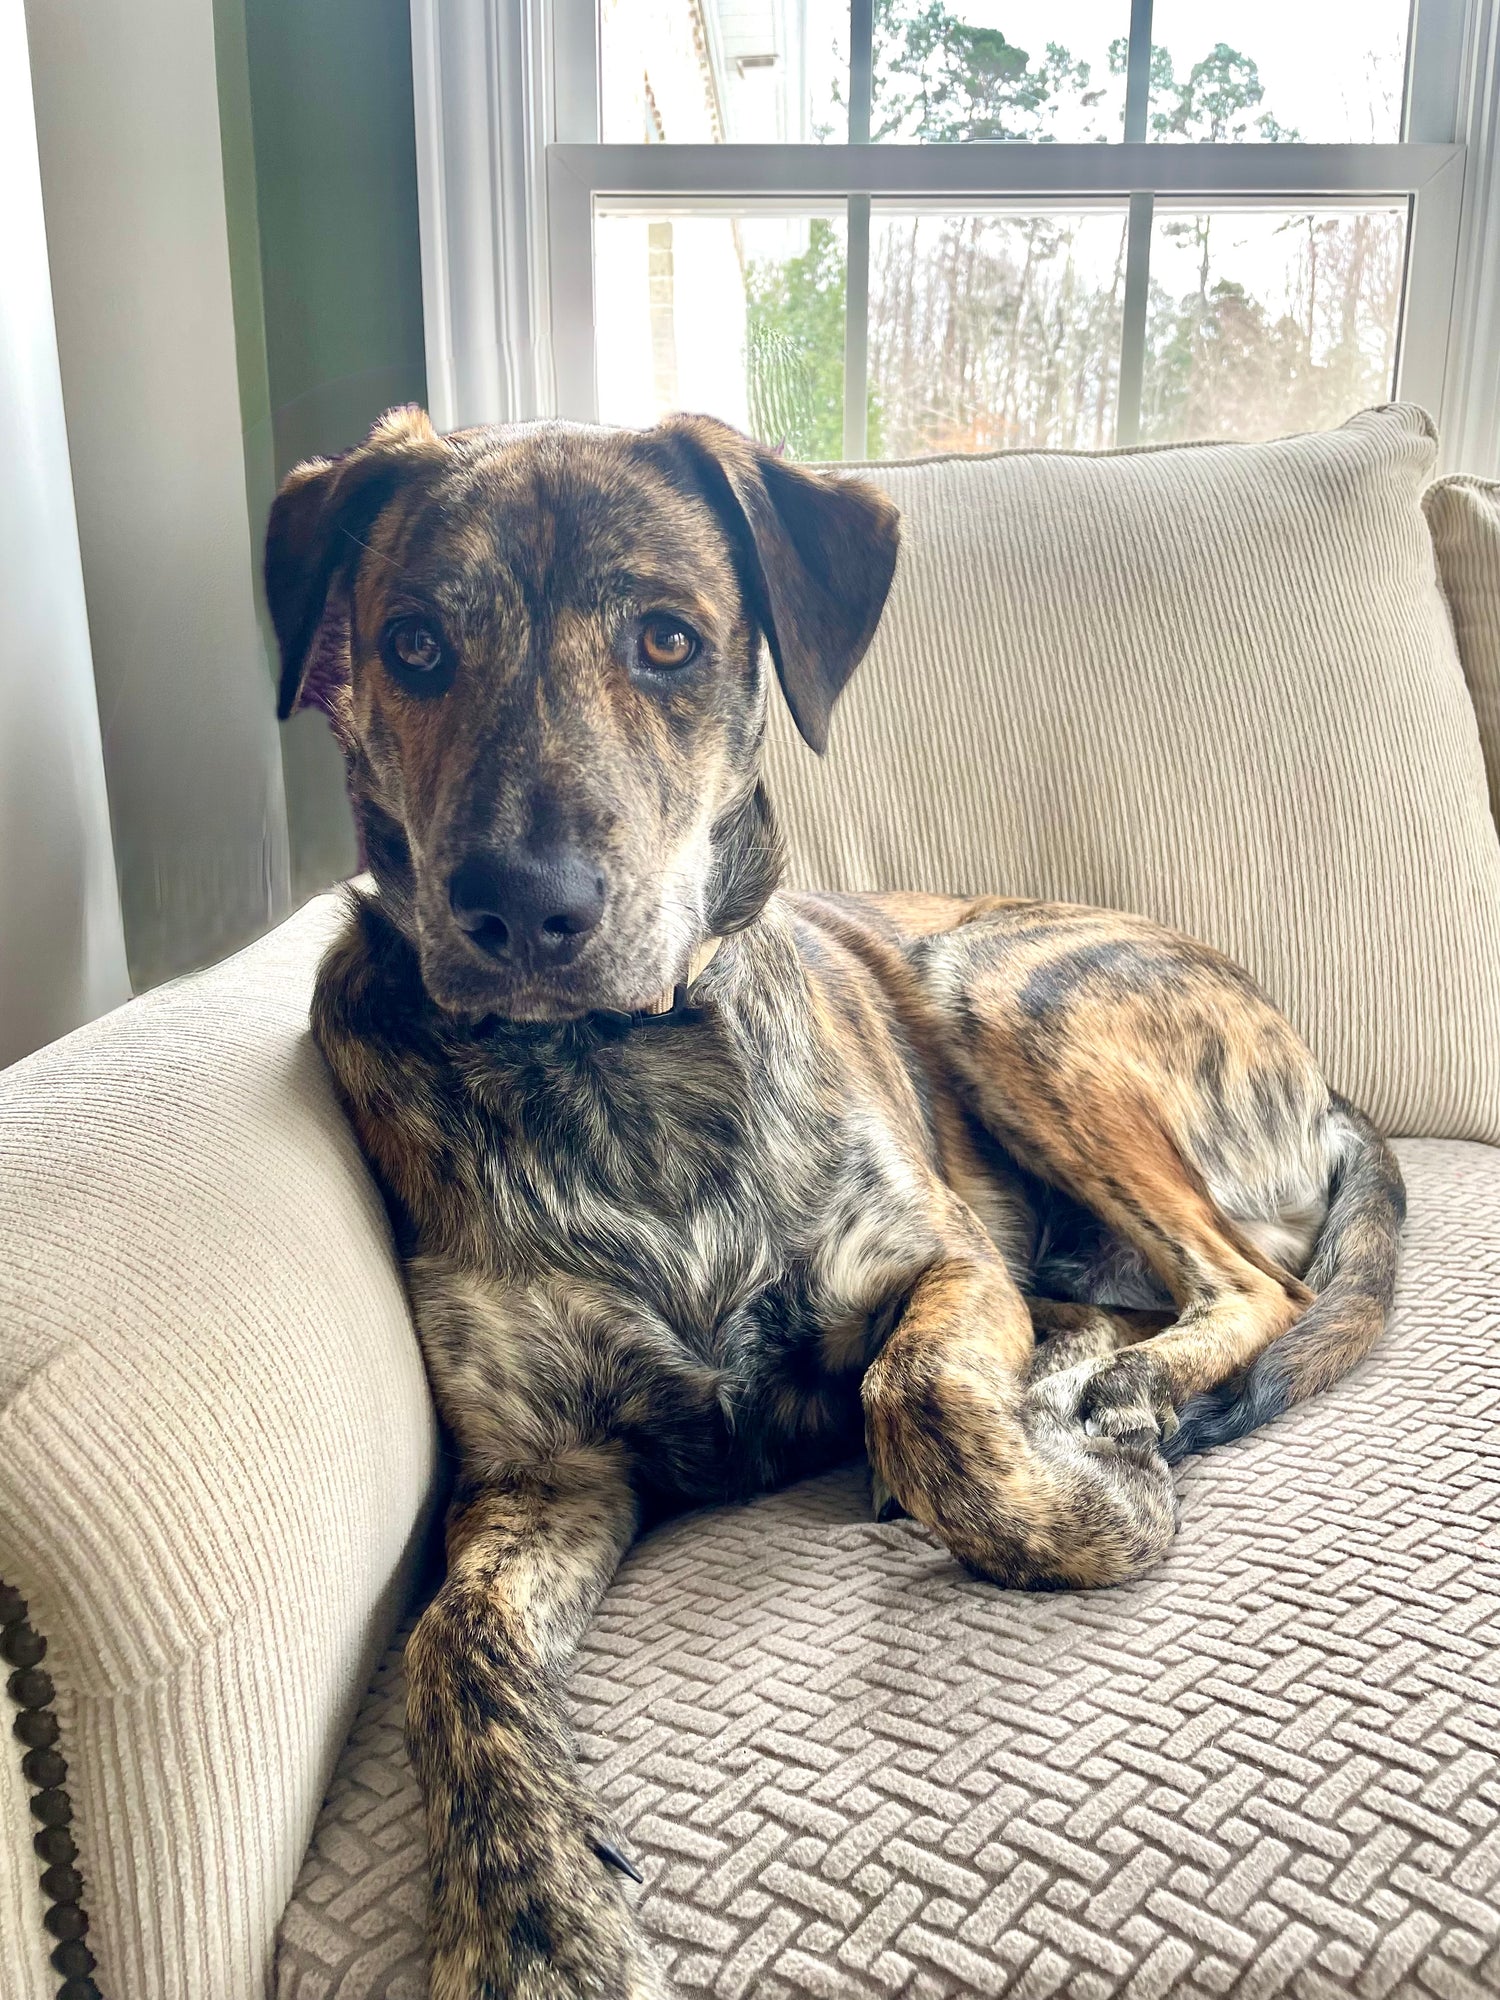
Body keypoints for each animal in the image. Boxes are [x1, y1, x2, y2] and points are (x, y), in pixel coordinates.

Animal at [265, 405, 1404, 2000]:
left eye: (669, 642)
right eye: (415, 646)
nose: (521, 909)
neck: (615, 1063)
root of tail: (1314, 1069)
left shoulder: (938, 1263)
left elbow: (917, 1392)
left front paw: (1090, 1502)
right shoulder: (545, 1474)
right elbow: (452, 1643)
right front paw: (533, 1915)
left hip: (1003, 992)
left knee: (1251, 1283)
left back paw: (1117, 1398)